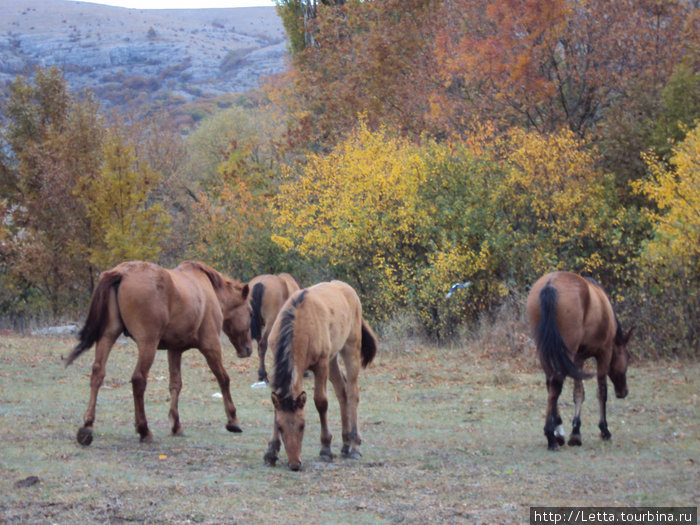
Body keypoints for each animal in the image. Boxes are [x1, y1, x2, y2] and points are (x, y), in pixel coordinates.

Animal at [65, 260, 252, 444]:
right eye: (250, 312)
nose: (248, 349)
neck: (208, 291)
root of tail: (122, 272)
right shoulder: (211, 346)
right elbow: (223, 379)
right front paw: (233, 420)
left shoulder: (175, 350)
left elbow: (175, 385)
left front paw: (176, 425)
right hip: (148, 344)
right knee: (138, 379)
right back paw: (144, 430)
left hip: (108, 336)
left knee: (98, 373)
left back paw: (87, 426)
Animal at [262, 282, 378, 470]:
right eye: (280, 427)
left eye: (302, 426)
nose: (295, 464)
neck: (299, 323)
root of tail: (348, 289)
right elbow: (276, 406)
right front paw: (271, 452)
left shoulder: (321, 365)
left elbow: (321, 402)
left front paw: (325, 449)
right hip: (333, 358)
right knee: (342, 391)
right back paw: (345, 444)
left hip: (350, 349)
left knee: (352, 392)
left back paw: (354, 446)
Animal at [524, 272, 636, 448]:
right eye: (628, 356)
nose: (623, 391)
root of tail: (550, 284)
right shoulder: (604, 354)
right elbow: (601, 392)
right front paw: (604, 430)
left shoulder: (578, 359)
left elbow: (578, 394)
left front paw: (575, 432)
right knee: (555, 385)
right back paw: (551, 436)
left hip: (545, 351)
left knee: (550, 385)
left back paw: (557, 432)